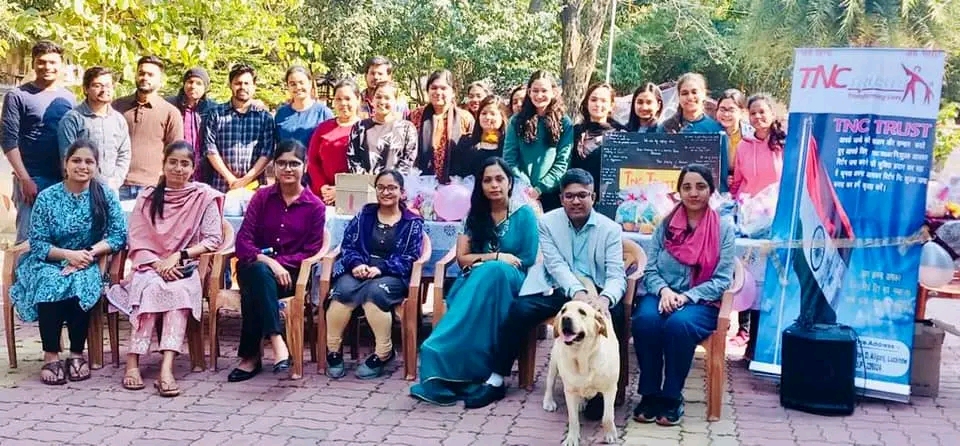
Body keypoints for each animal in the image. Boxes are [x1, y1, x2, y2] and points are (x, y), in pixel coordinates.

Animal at [544, 300, 620, 446]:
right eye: (564, 310)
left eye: (582, 312)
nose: (565, 318)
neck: (583, 358)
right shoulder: (569, 391)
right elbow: (573, 419)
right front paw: (571, 439)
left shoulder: (610, 388)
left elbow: (607, 417)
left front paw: (610, 435)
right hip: (554, 360)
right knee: (550, 382)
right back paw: (549, 401)